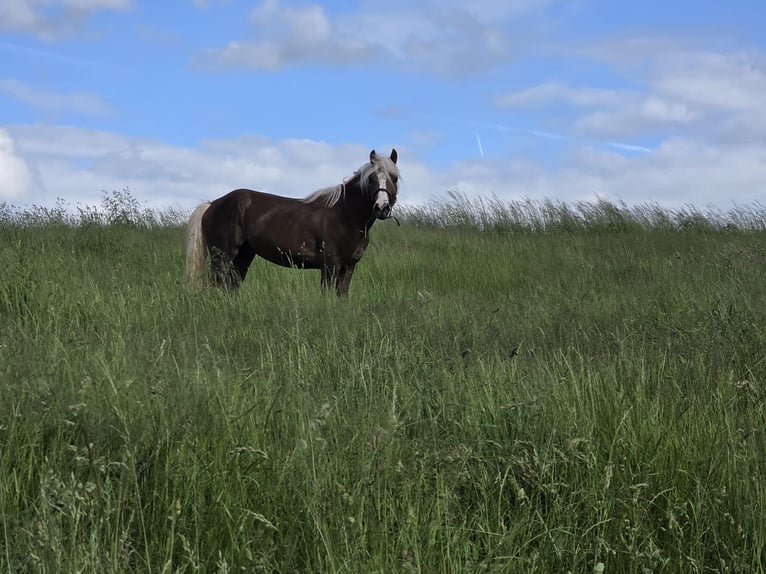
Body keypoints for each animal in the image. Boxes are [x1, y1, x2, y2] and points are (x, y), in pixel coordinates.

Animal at [185, 148, 400, 297]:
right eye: (371, 179)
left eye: (394, 178)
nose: (381, 207)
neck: (345, 216)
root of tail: (212, 204)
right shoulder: (330, 266)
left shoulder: (348, 266)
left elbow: (342, 296)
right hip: (222, 256)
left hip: (243, 256)